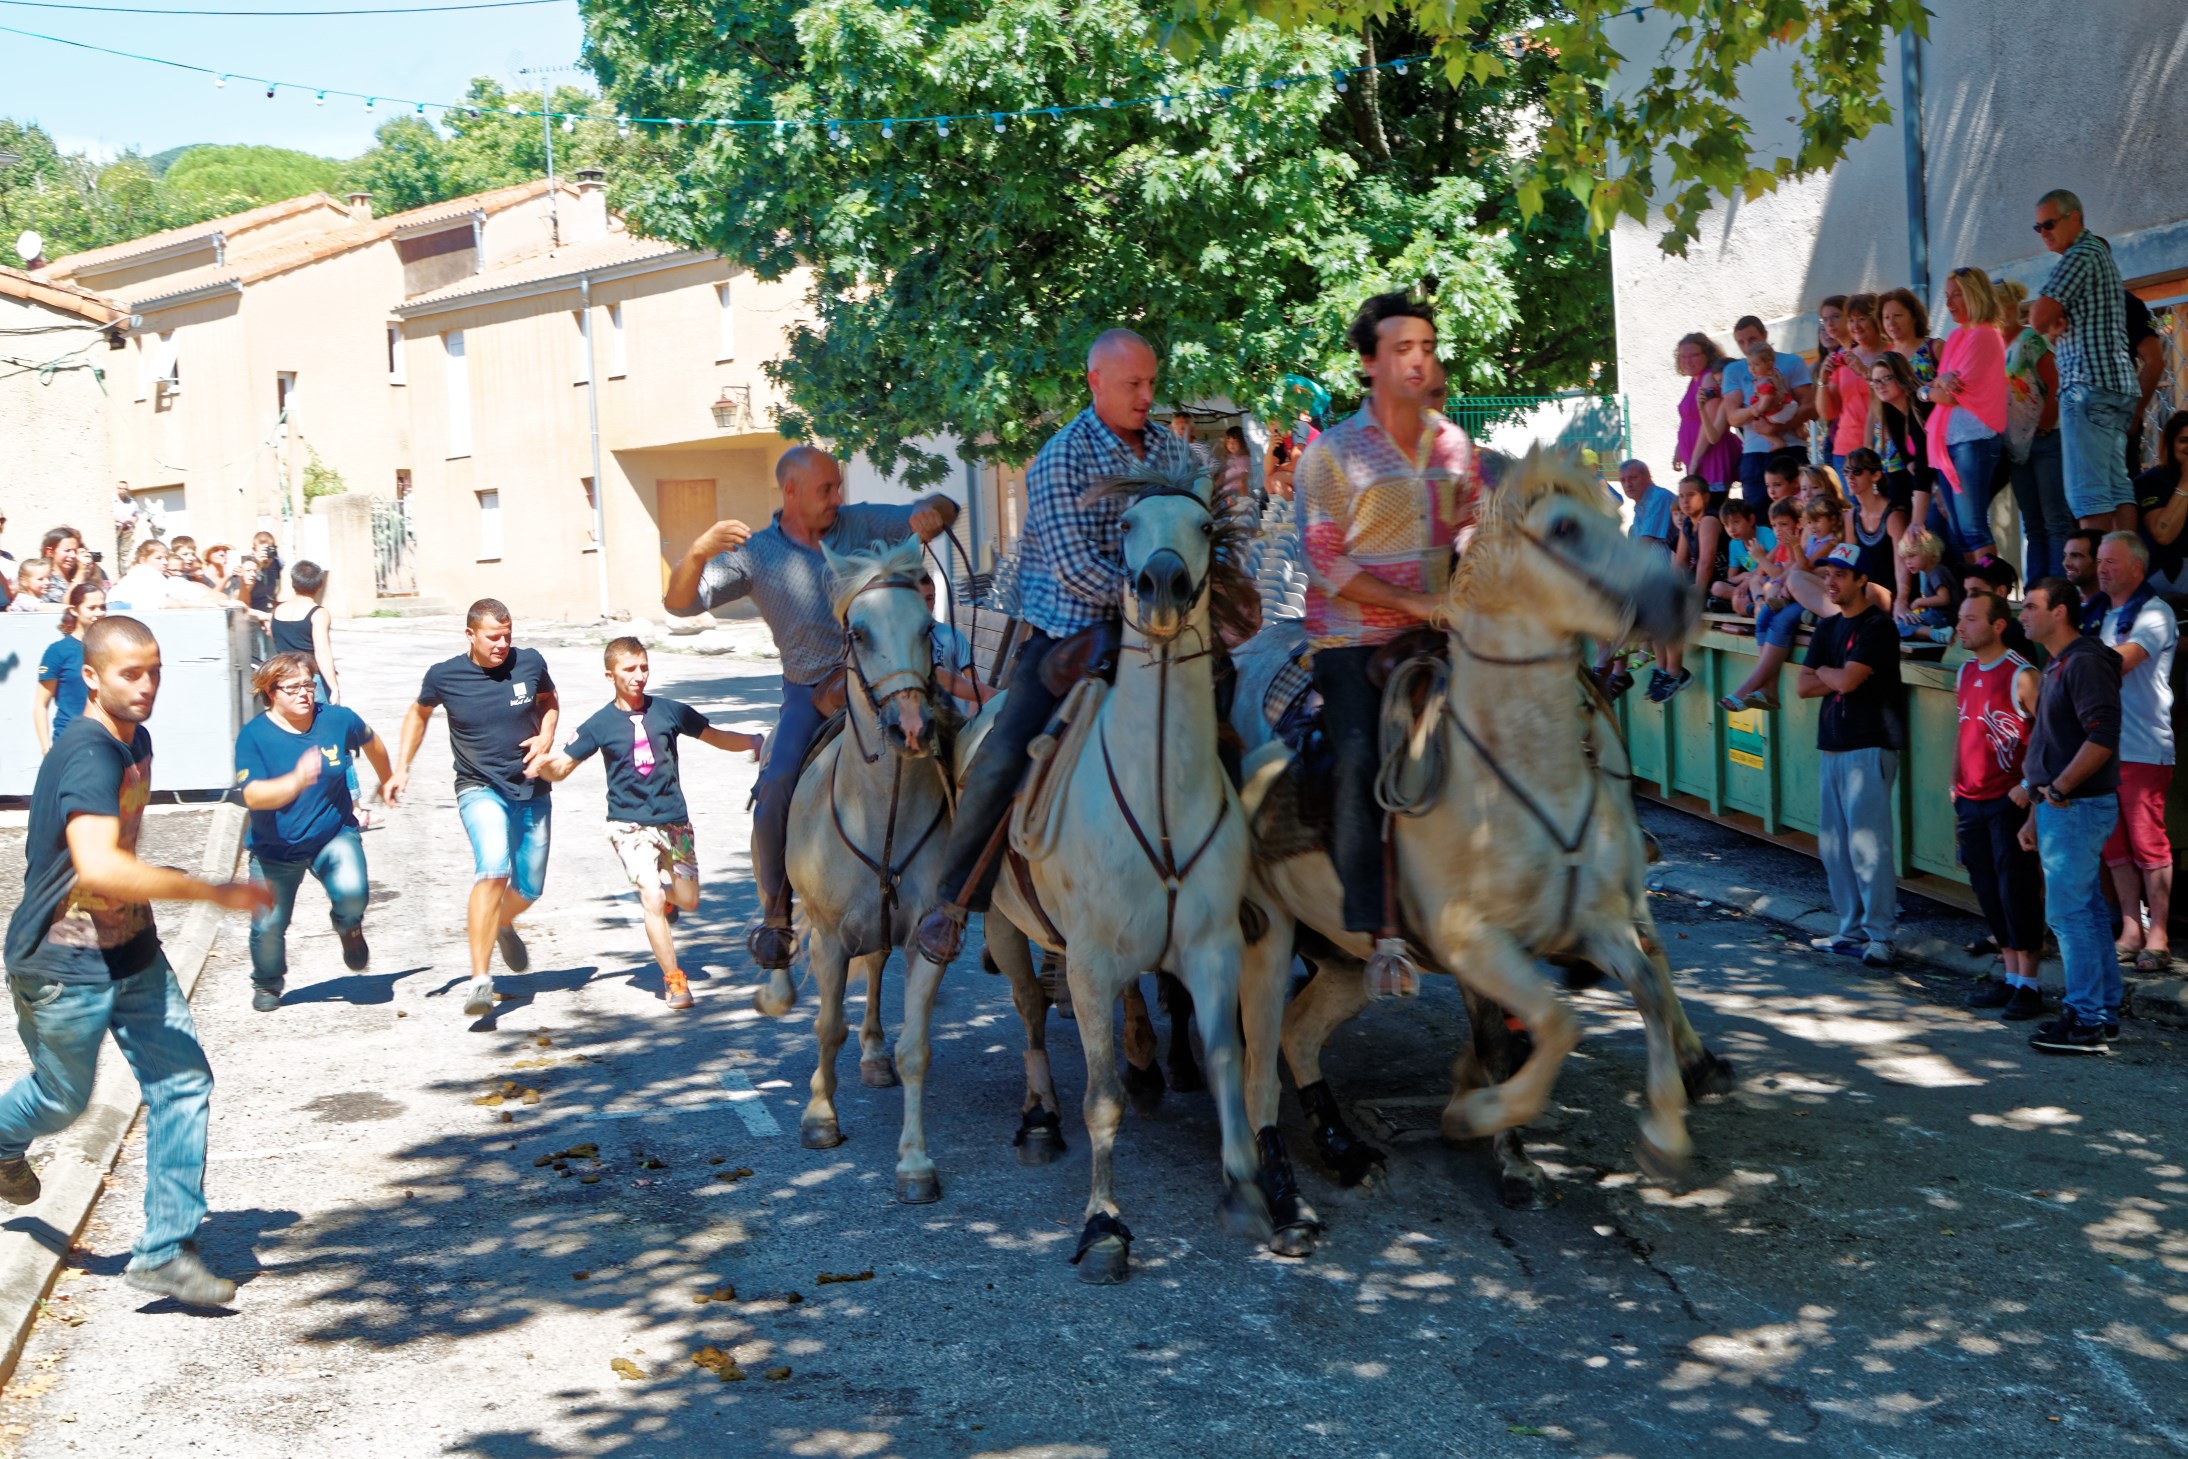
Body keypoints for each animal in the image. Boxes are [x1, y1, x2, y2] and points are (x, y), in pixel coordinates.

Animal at [774, 535, 962, 1154]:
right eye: (858, 633)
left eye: (928, 629)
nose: (912, 727)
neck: (883, 812)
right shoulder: (829, 938)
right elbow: (827, 1027)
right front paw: (819, 1118)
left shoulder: (928, 936)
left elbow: (915, 1049)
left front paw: (915, 1158)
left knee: (878, 965)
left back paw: (875, 1054)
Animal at [888, 461, 1269, 1286]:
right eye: (1125, 524)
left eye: (1206, 527)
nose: (1161, 584)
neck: (1160, 792)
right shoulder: (1092, 964)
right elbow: (1103, 1098)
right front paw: (1103, 1226)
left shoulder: (1213, 947)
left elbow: (1226, 1056)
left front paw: (1247, 1187)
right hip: (992, 919)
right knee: (1014, 1009)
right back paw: (994, 1131)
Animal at [1242, 450, 1715, 1251]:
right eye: (1564, 529)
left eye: (1618, 515)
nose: (1679, 600)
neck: (1516, 774)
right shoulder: (1474, 943)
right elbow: (1549, 1025)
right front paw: (1480, 1120)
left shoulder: (1595, 920)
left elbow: (1645, 983)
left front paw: (1663, 1127)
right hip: (1261, 933)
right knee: (1250, 1055)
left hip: (1343, 954)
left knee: (1298, 1035)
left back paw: (1342, 1148)